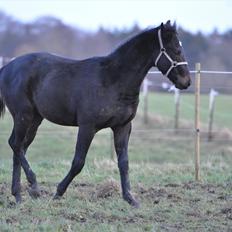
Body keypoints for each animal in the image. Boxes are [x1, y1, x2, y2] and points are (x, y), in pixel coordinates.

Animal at [0, 21, 190, 207]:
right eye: (176, 50)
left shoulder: (122, 127)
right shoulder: (87, 127)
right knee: (16, 144)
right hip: (23, 115)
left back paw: (18, 196)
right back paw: (33, 187)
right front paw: (58, 193)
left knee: (20, 148)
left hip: (34, 119)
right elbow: (78, 162)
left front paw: (130, 199)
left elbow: (124, 163)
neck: (113, 80)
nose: (186, 82)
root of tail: (7, 68)